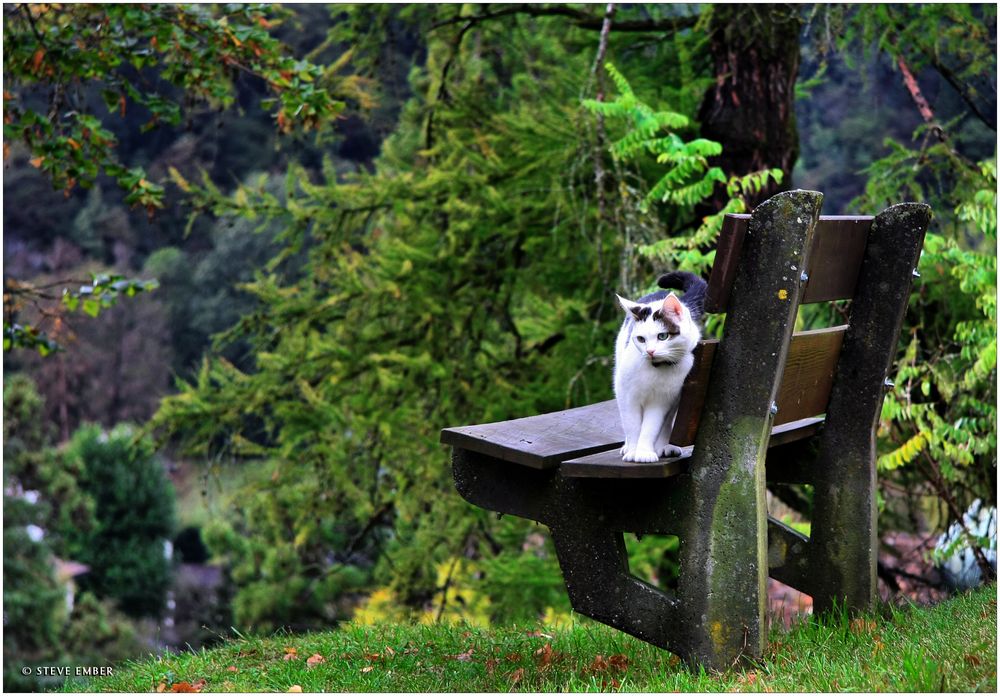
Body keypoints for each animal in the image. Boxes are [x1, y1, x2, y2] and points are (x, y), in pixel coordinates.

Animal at [612, 272, 708, 462]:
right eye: (641, 339)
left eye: (662, 336)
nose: (650, 351)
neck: (655, 368)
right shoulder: (626, 395)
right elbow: (632, 425)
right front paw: (633, 451)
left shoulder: (662, 400)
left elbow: (651, 427)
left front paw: (644, 452)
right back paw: (627, 447)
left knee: (667, 423)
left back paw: (664, 446)